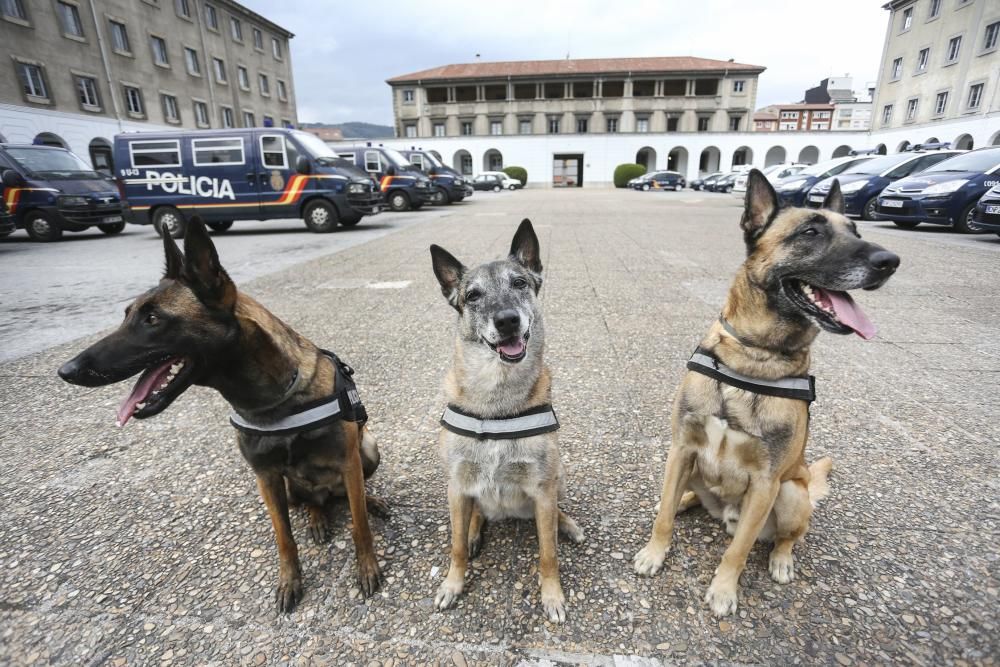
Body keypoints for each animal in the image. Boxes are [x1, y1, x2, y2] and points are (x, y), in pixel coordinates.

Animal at [57, 217, 386, 612]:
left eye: (152, 319)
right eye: (126, 316)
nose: (67, 370)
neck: (275, 401)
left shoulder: (349, 462)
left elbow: (359, 525)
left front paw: (366, 566)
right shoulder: (266, 477)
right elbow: (284, 538)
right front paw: (289, 581)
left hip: (368, 449)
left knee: (349, 499)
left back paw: (370, 502)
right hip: (292, 488)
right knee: (312, 502)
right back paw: (318, 519)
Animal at [430, 222, 584, 624]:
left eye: (518, 283)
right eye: (472, 295)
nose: (507, 320)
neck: (496, 402)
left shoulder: (543, 490)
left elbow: (548, 554)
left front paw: (552, 596)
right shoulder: (457, 486)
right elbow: (455, 548)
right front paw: (453, 584)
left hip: (559, 478)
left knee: (554, 516)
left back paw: (567, 524)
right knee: (475, 516)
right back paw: (473, 531)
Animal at [636, 171, 904, 616]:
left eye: (856, 231)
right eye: (811, 232)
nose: (890, 261)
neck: (751, 358)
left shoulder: (765, 483)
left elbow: (739, 551)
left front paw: (724, 590)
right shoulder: (681, 449)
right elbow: (664, 520)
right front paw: (654, 553)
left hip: (791, 493)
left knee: (785, 536)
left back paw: (781, 559)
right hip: (695, 471)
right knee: (681, 499)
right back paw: (683, 500)